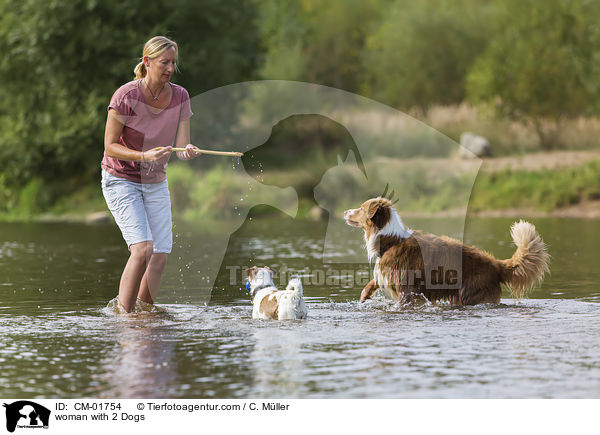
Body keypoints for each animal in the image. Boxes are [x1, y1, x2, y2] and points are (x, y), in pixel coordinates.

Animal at [344, 198, 552, 306]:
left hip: (469, 294)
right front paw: (363, 298)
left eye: (361, 208)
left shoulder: (408, 291)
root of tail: (496, 264)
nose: (345, 211)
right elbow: (370, 285)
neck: (391, 240)